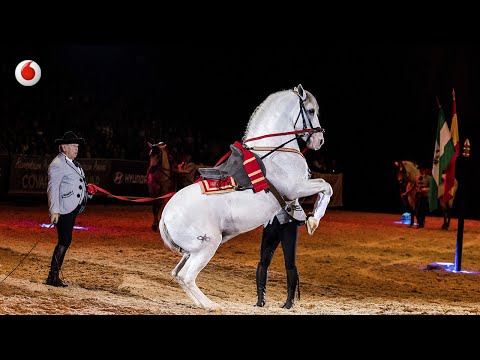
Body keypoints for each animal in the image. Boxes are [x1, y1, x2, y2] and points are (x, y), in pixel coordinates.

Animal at [159, 84, 332, 310]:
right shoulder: (296, 188)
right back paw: (211, 305)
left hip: (192, 251)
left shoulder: (294, 193)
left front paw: (309, 219)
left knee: (177, 274)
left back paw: (201, 304)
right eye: (311, 111)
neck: (274, 151)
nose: (319, 140)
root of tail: (165, 217)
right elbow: (326, 187)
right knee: (187, 277)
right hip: (207, 245)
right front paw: (313, 221)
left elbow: (321, 189)